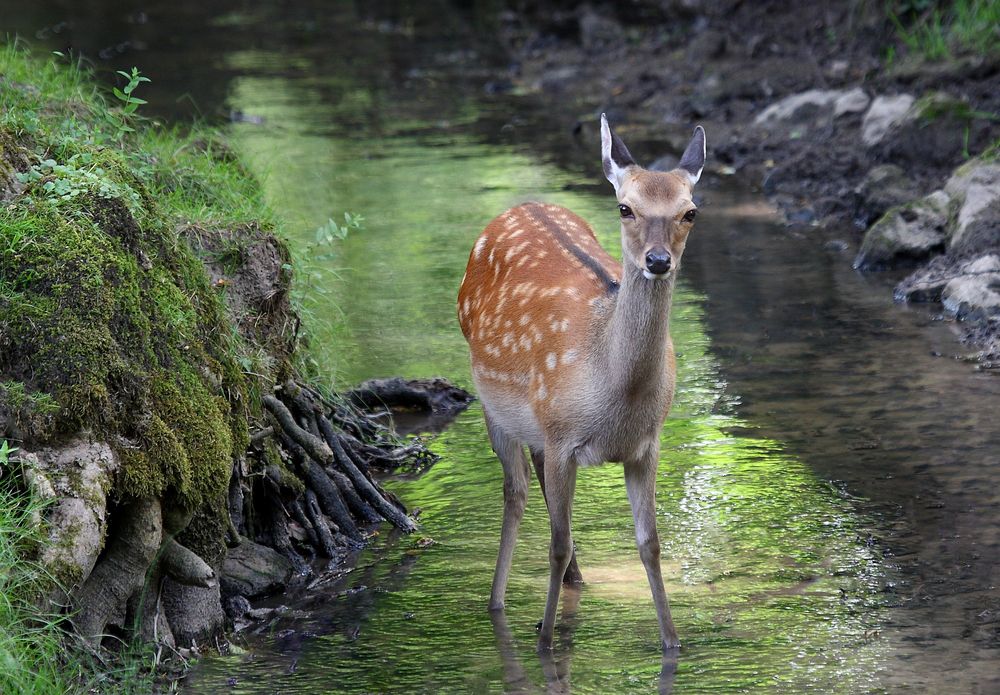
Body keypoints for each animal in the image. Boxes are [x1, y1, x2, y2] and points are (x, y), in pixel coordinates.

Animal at [458, 115, 708, 652]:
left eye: (690, 212)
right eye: (625, 207)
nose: (658, 260)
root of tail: (520, 204)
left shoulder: (646, 445)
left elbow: (650, 544)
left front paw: (673, 644)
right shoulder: (562, 439)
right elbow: (554, 543)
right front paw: (546, 642)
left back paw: (578, 581)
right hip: (493, 401)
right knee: (515, 490)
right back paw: (497, 602)